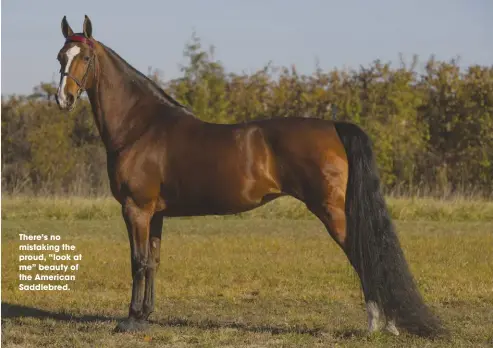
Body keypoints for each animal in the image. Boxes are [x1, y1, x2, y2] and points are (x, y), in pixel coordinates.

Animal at [55, 15, 444, 338]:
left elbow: (137, 262)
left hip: (334, 212)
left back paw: (379, 325)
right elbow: (153, 263)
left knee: (364, 257)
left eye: (84, 58)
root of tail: (334, 127)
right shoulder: (156, 214)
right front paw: (146, 315)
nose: (63, 99)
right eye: (60, 57)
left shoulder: (136, 209)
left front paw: (131, 319)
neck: (141, 127)